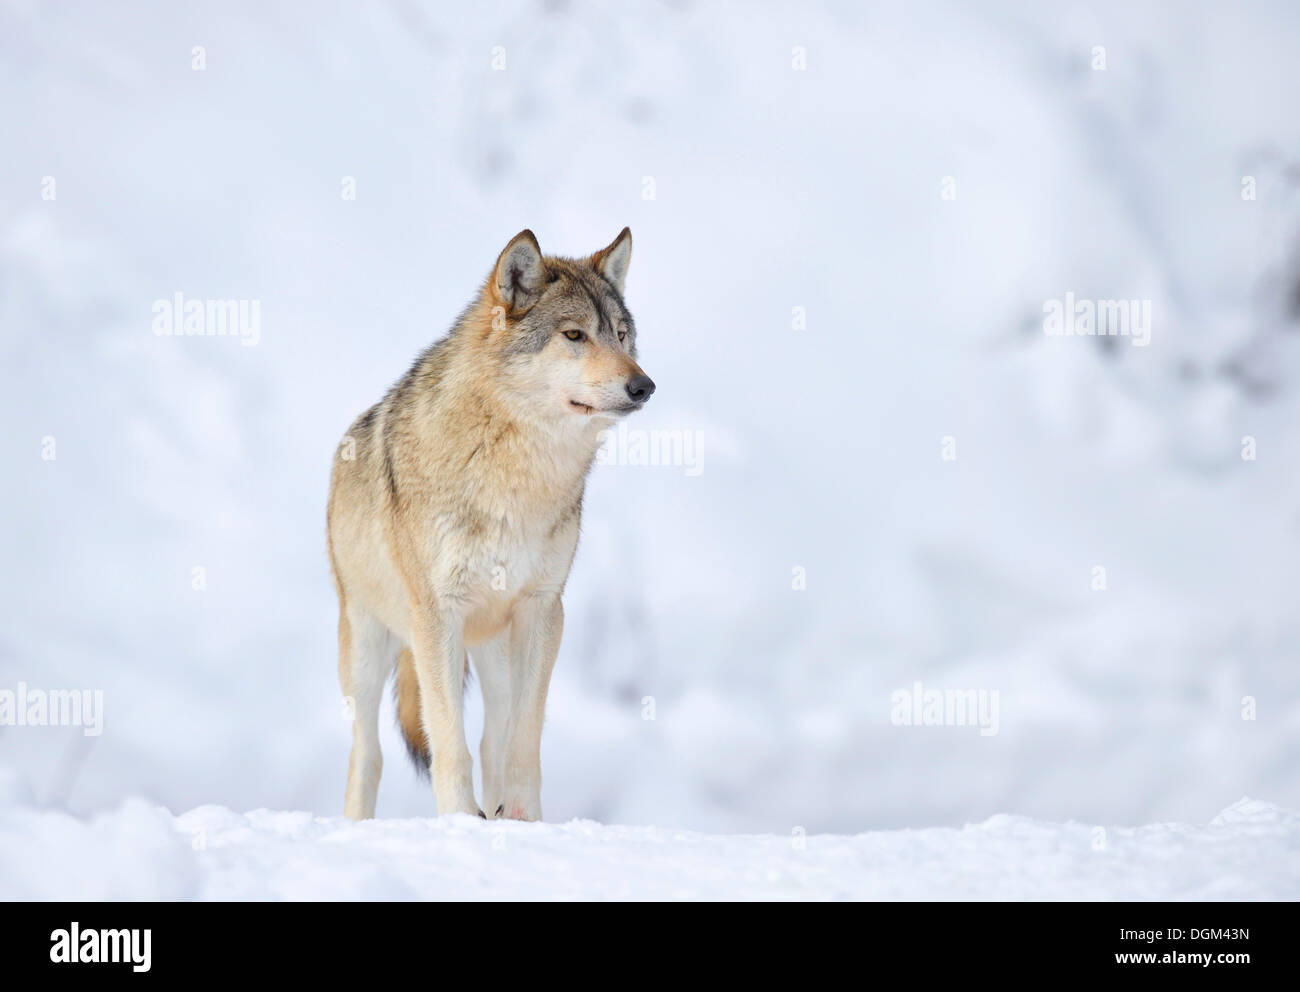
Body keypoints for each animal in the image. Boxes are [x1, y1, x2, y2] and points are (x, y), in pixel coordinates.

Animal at [325, 228, 650, 816]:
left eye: (620, 335)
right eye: (574, 335)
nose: (645, 386)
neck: (516, 476)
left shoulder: (543, 610)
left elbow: (522, 739)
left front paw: (521, 820)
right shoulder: (437, 616)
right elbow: (448, 742)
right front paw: (460, 821)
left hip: (494, 651)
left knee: (492, 737)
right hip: (367, 646)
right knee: (369, 755)